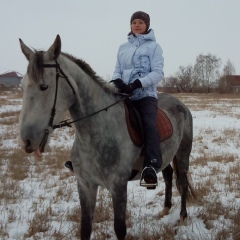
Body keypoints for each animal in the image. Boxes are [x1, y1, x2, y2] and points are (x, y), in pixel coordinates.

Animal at [18, 34, 195, 239]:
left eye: (44, 86)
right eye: (22, 87)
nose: (27, 141)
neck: (95, 135)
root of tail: (181, 105)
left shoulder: (118, 187)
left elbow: (119, 228)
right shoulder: (85, 185)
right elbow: (85, 228)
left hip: (182, 154)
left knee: (182, 183)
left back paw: (182, 218)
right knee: (167, 176)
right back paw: (165, 210)